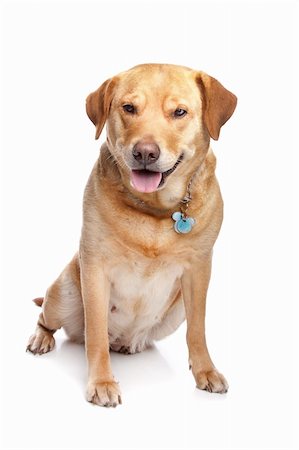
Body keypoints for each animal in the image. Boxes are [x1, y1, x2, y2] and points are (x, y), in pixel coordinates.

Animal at [27, 63, 238, 408]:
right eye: (128, 108)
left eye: (179, 112)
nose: (145, 153)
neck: (156, 209)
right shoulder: (95, 269)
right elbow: (96, 335)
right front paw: (101, 382)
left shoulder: (198, 271)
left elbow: (197, 330)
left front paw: (205, 371)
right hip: (65, 292)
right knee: (49, 319)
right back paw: (41, 338)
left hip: (175, 309)